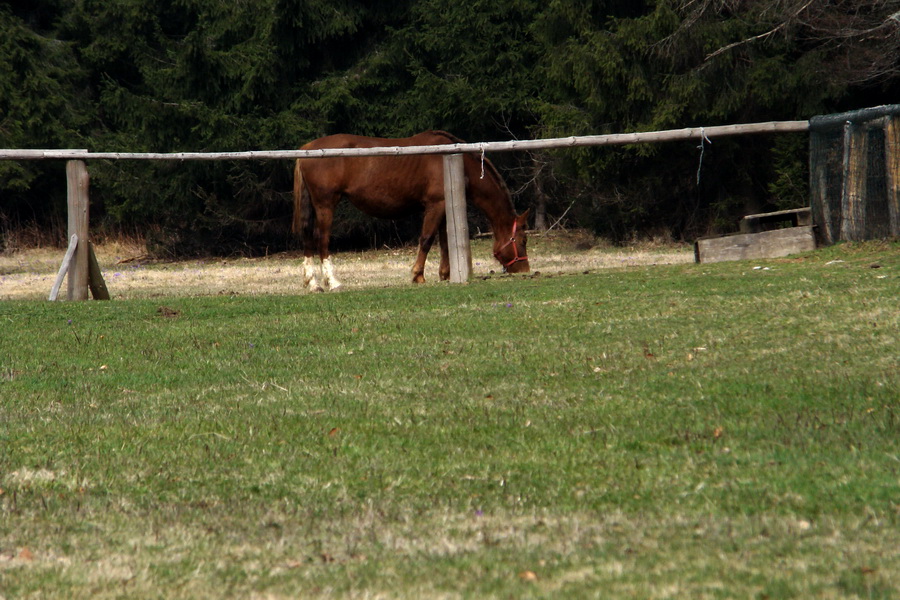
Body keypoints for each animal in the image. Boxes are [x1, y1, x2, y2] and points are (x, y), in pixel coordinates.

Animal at [296, 130, 528, 292]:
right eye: (523, 240)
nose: (524, 269)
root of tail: (307, 149)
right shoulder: (435, 205)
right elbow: (426, 239)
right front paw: (418, 275)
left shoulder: (445, 206)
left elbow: (445, 242)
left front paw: (445, 274)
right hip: (326, 204)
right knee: (322, 240)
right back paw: (333, 282)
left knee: (307, 239)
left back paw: (313, 283)